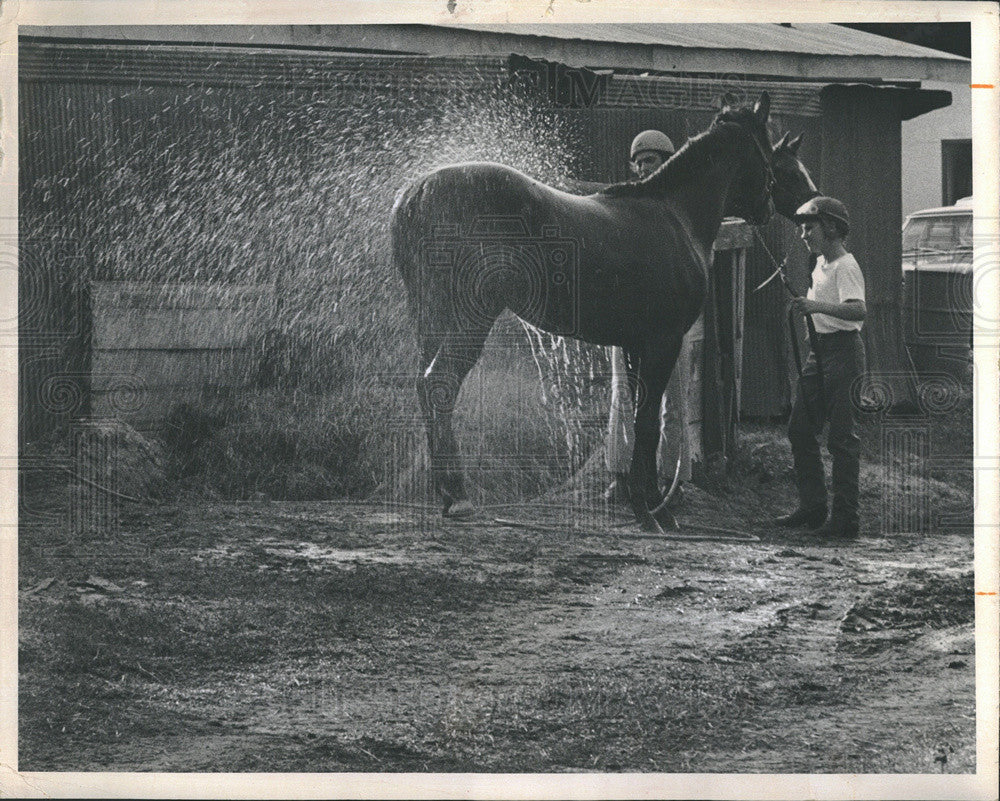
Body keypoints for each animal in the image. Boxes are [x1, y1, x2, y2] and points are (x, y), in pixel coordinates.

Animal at [392, 92, 780, 532]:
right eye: (768, 149)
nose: (769, 207)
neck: (674, 215)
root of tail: (418, 192)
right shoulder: (661, 343)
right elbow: (648, 422)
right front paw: (651, 511)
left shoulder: (634, 344)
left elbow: (636, 417)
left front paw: (641, 502)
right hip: (467, 320)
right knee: (439, 383)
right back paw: (457, 496)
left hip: (433, 320)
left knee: (425, 386)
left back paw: (444, 492)